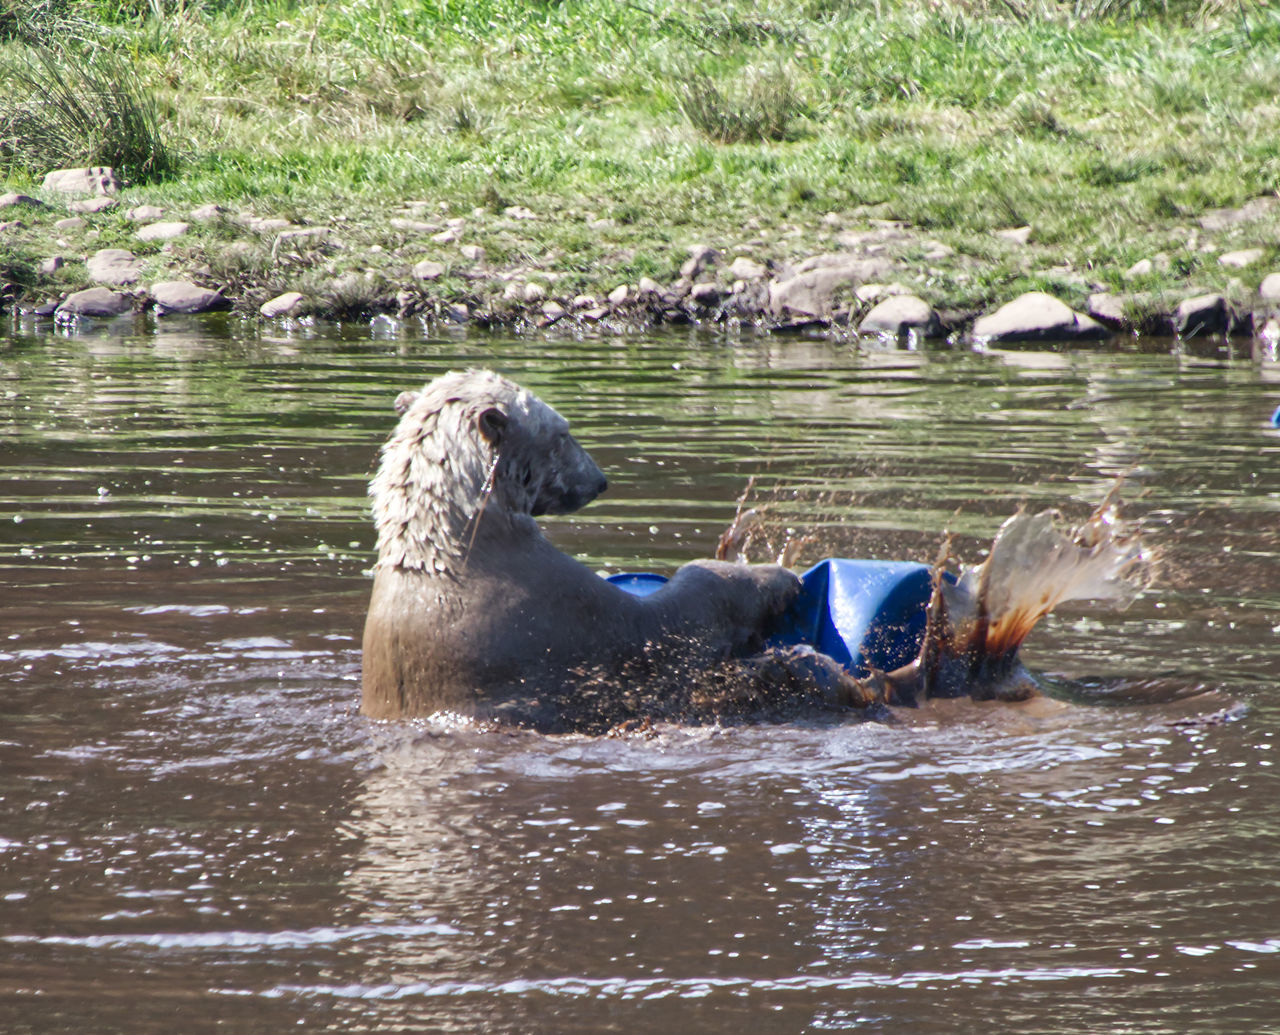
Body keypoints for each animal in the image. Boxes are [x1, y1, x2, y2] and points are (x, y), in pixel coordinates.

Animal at [360, 368, 798, 726]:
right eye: (563, 433)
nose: (600, 480)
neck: (461, 546)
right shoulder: (560, 610)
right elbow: (666, 627)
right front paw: (772, 577)